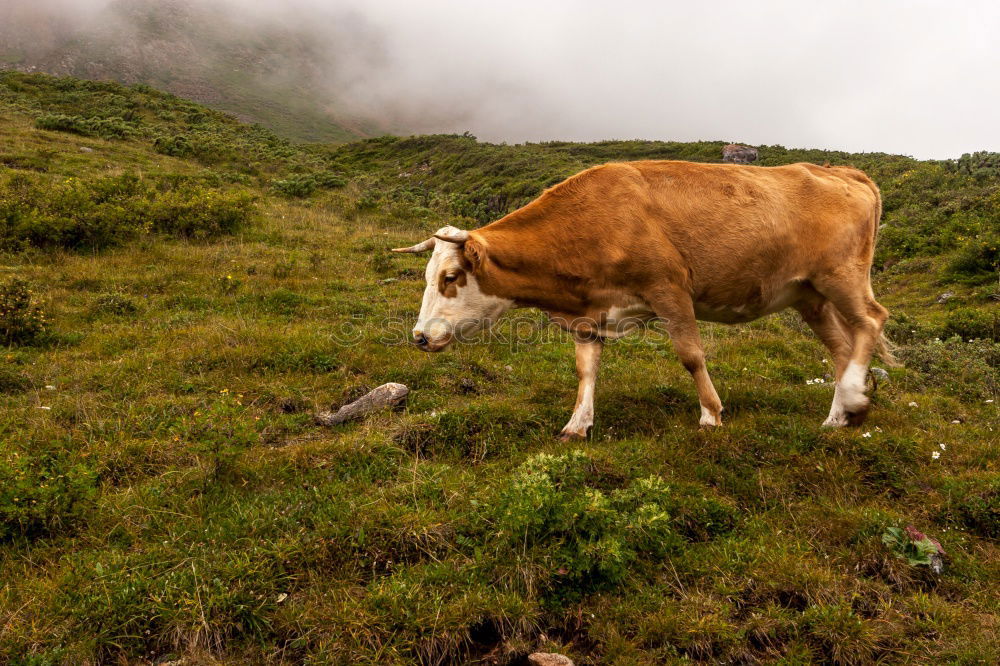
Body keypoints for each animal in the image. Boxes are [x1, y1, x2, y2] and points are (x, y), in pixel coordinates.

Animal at [392, 160, 900, 438]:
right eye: (429, 275)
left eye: (451, 276)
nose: (419, 337)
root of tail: (839, 170)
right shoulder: (590, 313)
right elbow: (586, 370)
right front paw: (577, 424)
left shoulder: (669, 288)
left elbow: (691, 355)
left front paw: (711, 414)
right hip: (808, 295)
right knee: (842, 346)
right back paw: (839, 415)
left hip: (842, 276)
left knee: (871, 322)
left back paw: (853, 397)